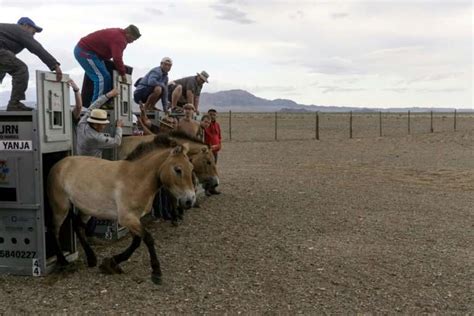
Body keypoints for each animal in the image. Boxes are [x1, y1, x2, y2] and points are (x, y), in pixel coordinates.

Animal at [47, 143, 195, 284]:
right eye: (178, 169)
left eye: (191, 168)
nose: (190, 200)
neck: (135, 178)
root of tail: (60, 163)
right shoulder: (127, 219)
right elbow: (148, 239)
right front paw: (156, 272)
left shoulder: (134, 219)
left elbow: (136, 242)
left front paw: (111, 263)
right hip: (61, 207)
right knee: (54, 229)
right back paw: (64, 262)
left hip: (86, 209)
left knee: (78, 226)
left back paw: (91, 258)